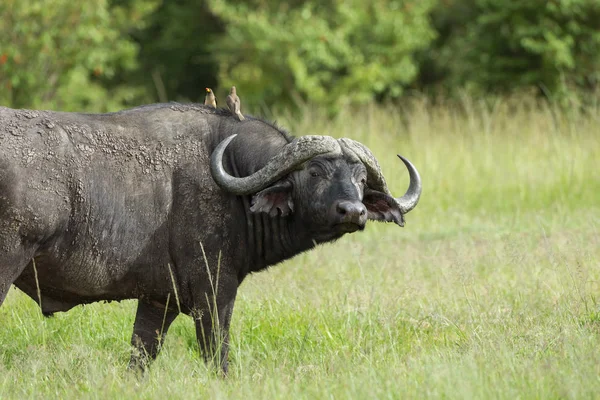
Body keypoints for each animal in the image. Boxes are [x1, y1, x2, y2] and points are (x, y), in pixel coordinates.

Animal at [0, 102, 422, 372]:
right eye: (315, 172)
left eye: (361, 179)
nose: (354, 211)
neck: (234, 182)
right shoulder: (214, 294)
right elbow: (217, 358)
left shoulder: (157, 301)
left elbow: (140, 359)